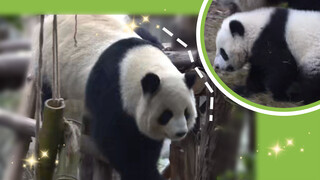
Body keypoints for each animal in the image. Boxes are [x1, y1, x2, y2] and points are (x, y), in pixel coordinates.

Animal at [33, 15, 196, 180]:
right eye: (166, 115)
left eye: (186, 113)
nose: (181, 132)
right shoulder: (111, 92)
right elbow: (114, 141)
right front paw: (147, 171)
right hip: (50, 68)